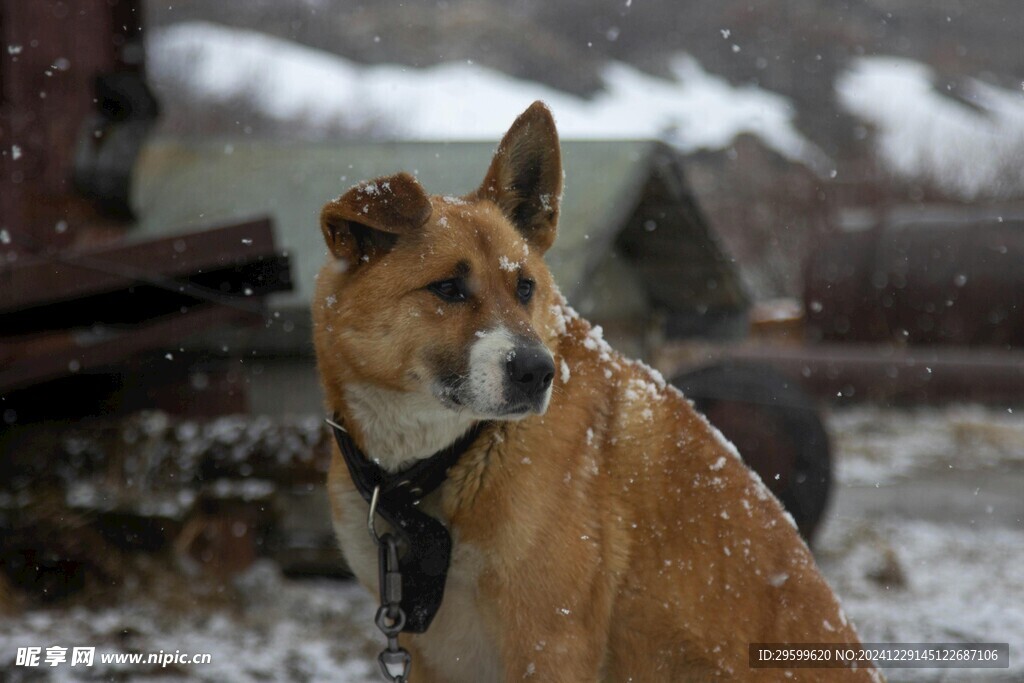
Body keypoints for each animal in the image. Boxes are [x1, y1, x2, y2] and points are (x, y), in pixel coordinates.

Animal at [313, 102, 880, 683]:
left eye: (525, 288)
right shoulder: (425, 649)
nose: (537, 372)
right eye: (447, 288)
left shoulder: (549, 643)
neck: (443, 462)